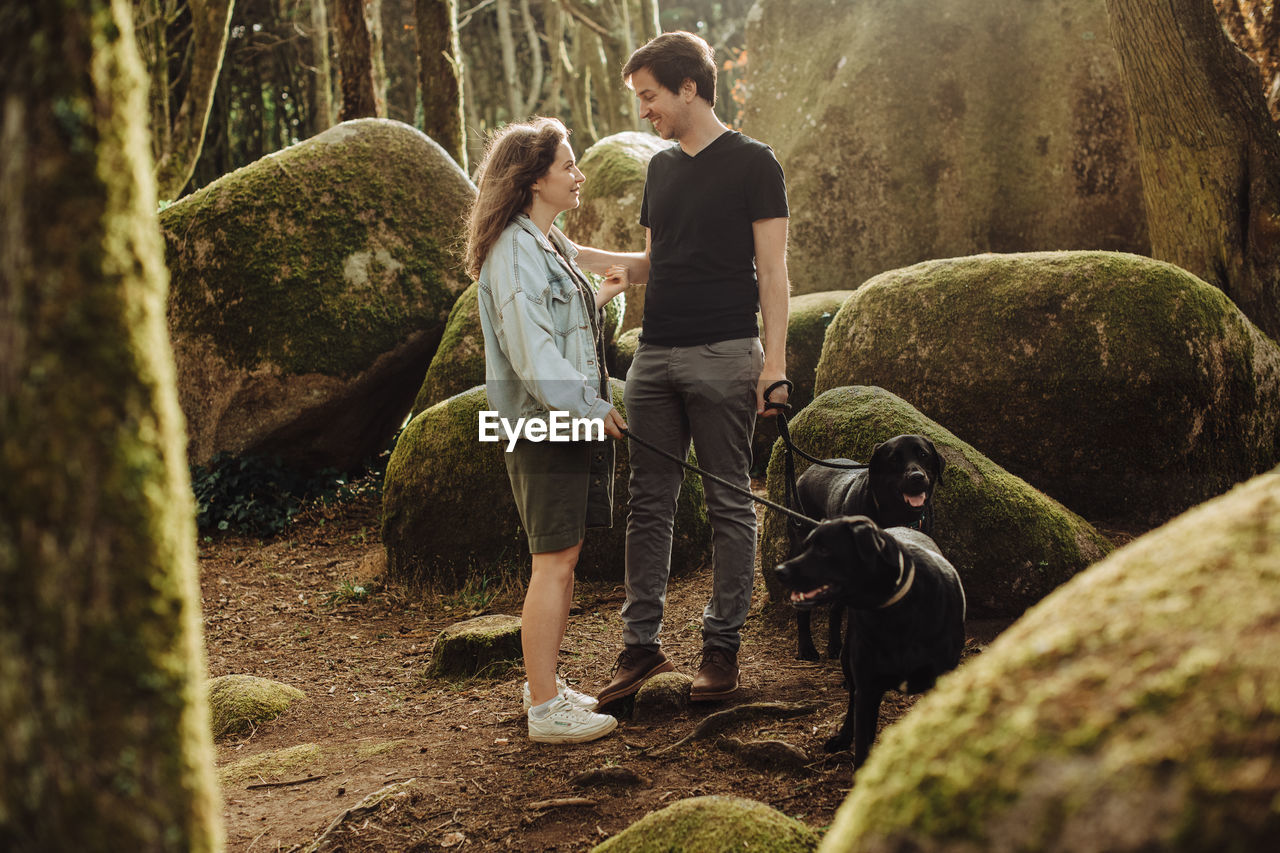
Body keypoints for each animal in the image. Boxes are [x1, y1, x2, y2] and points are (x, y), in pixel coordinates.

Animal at [768, 514, 962, 768]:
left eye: (824, 549)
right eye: (808, 545)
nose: (779, 570)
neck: (897, 612)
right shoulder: (868, 690)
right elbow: (862, 748)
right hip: (849, 661)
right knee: (852, 700)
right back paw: (842, 737)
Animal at [783, 432, 947, 655]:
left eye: (923, 454)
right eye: (894, 459)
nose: (917, 477)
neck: (896, 516)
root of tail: (805, 474)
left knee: (835, 607)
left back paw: (834, 647)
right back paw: (807, 648)